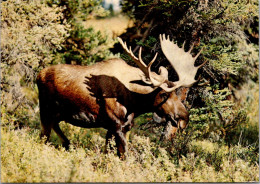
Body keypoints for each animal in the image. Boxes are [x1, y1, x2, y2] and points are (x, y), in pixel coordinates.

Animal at [37, 34, 207, 157]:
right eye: (164, 94)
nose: (184, 117)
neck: (135, 103)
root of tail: (38, 75)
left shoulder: (120, 127)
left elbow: (110, 153)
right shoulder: (117, 125)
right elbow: (124, 156)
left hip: (58, 114)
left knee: (54, 128)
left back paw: (67, 143)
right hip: (45, 111)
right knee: (43, 136)